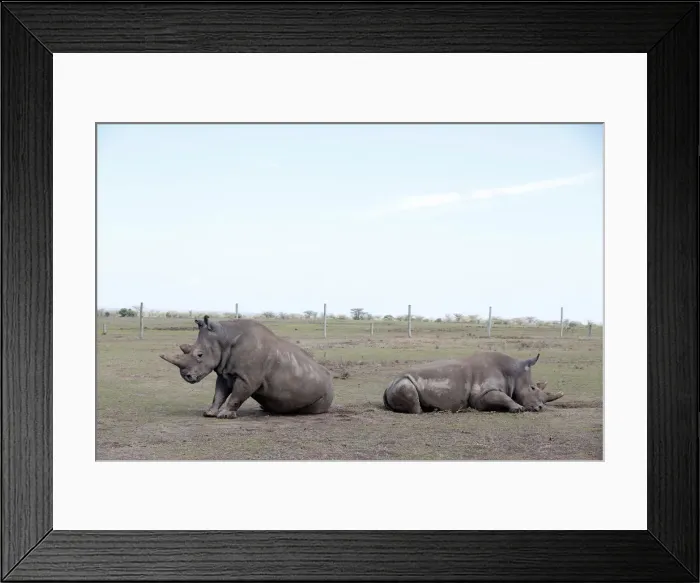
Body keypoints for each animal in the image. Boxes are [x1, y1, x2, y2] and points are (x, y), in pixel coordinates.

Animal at [160, 316, 334, 419]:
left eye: (200, 355)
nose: (186, 376)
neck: (224, 337)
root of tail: (330, 379)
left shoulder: (247, 378)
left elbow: (236, 395)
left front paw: (224, 415)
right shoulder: (224, 372)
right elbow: (219, 393)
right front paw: (209, 413)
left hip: (325, 390)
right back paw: (265, 409)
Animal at [383, 351, 564, 414]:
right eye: (532, 388)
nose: (540, 408)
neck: (512, 373)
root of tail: (387, 386)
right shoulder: (481, 396)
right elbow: (503, 397)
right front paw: (518, 409)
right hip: (402, 382)